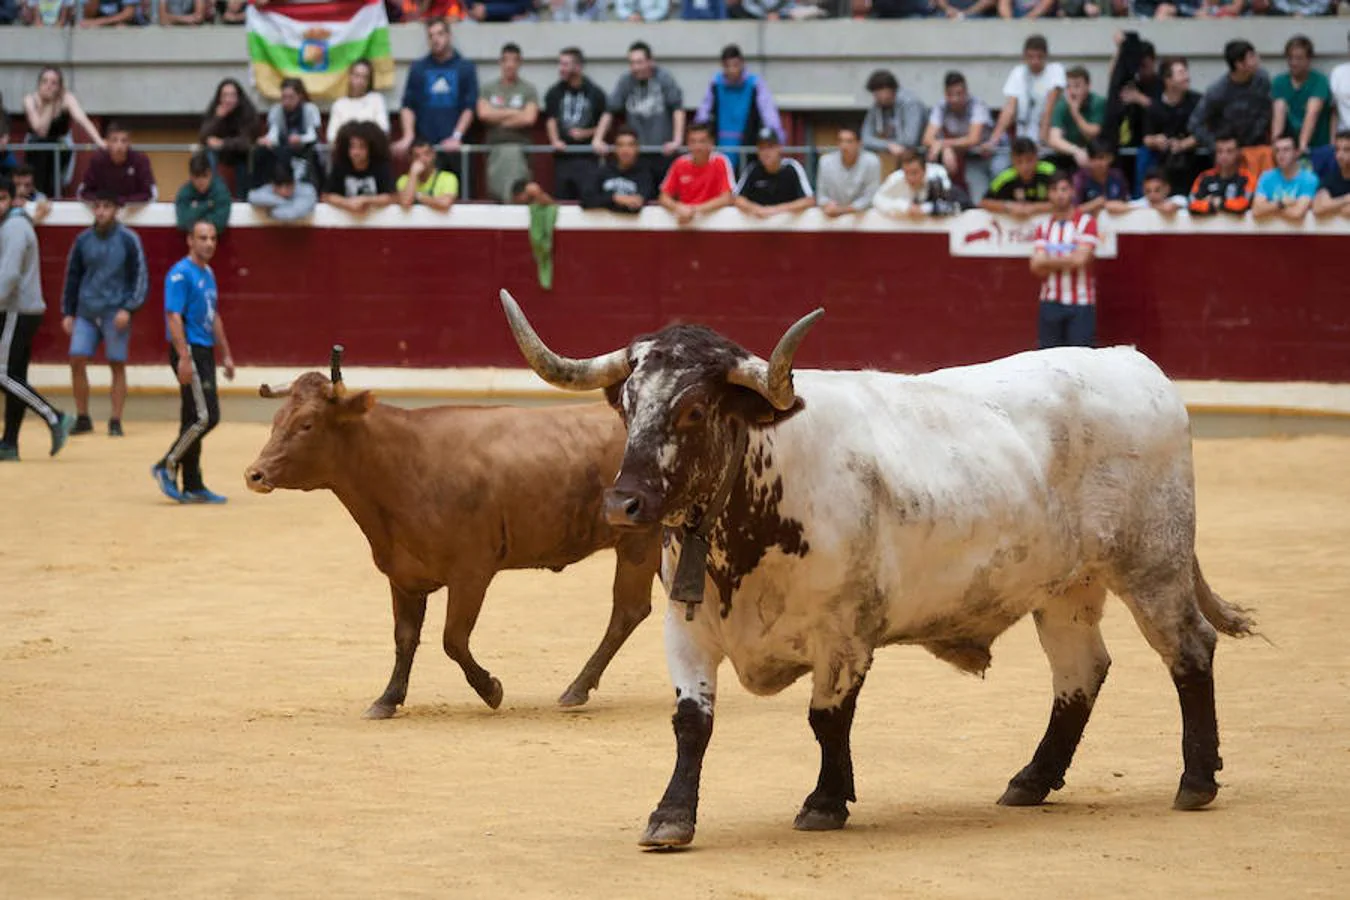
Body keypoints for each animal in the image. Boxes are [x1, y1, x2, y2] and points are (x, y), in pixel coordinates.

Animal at [248, 350, 664, 717]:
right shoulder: (403, 577)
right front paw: (387, 699)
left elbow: (452, 639)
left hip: (639, 542)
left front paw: (491, 690)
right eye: (276, 420)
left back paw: (576, 689)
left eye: (307, 424)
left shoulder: (471, 573)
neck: (401, 464)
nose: (254, 475)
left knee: (628, 610)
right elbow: (405, 638)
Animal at [504, 292, 1252, 847]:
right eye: (627, 405)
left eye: (692, 409)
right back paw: (1033, 780)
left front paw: (826, 802)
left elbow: (827, 718)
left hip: (1152, 566)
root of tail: (1136, 366)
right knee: (1080, 674)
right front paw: (670, 817)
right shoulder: (686, 628)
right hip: (1066, 589)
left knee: (1189, 651)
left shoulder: (845, 634)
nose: (623, 503)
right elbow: (692, 722)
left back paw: (1196, 780)